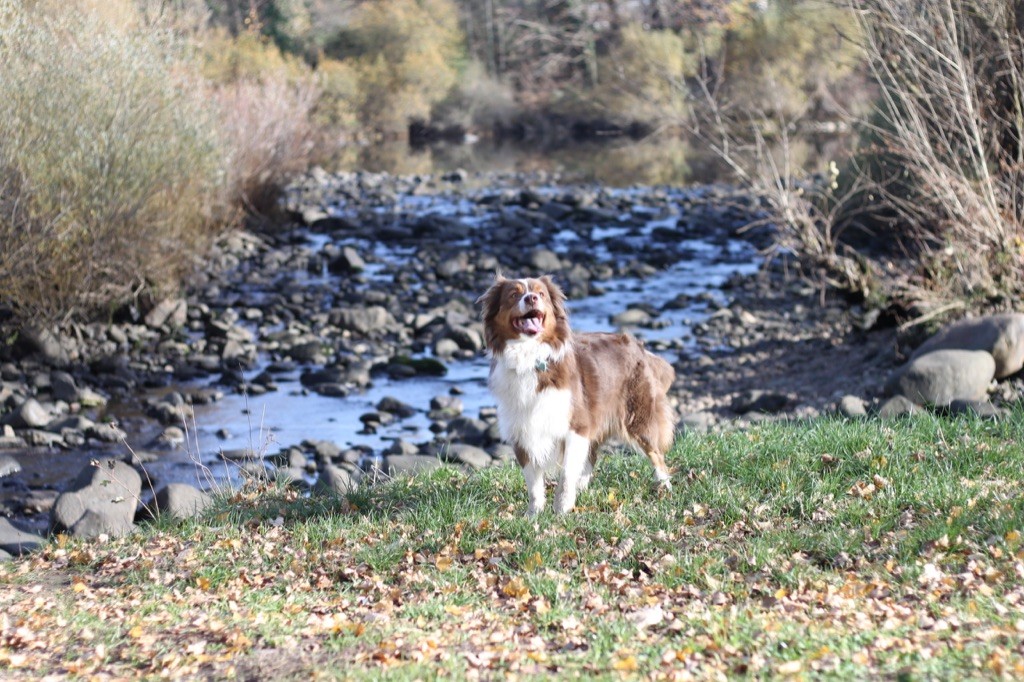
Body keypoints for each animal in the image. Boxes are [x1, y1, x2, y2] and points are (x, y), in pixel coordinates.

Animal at [477, 274, 675, 512]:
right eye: (514, 294)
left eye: (541, 293)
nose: (531, 298)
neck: (531, 357)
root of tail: (637, 345)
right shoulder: (522, 430)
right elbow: (534, 483)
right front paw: (534, 514)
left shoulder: (575, 426)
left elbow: (566, 475)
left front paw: (561, 510)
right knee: (592, 454)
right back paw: (582, 488)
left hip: (638, 417)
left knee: (656, 454)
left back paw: (665, 487)